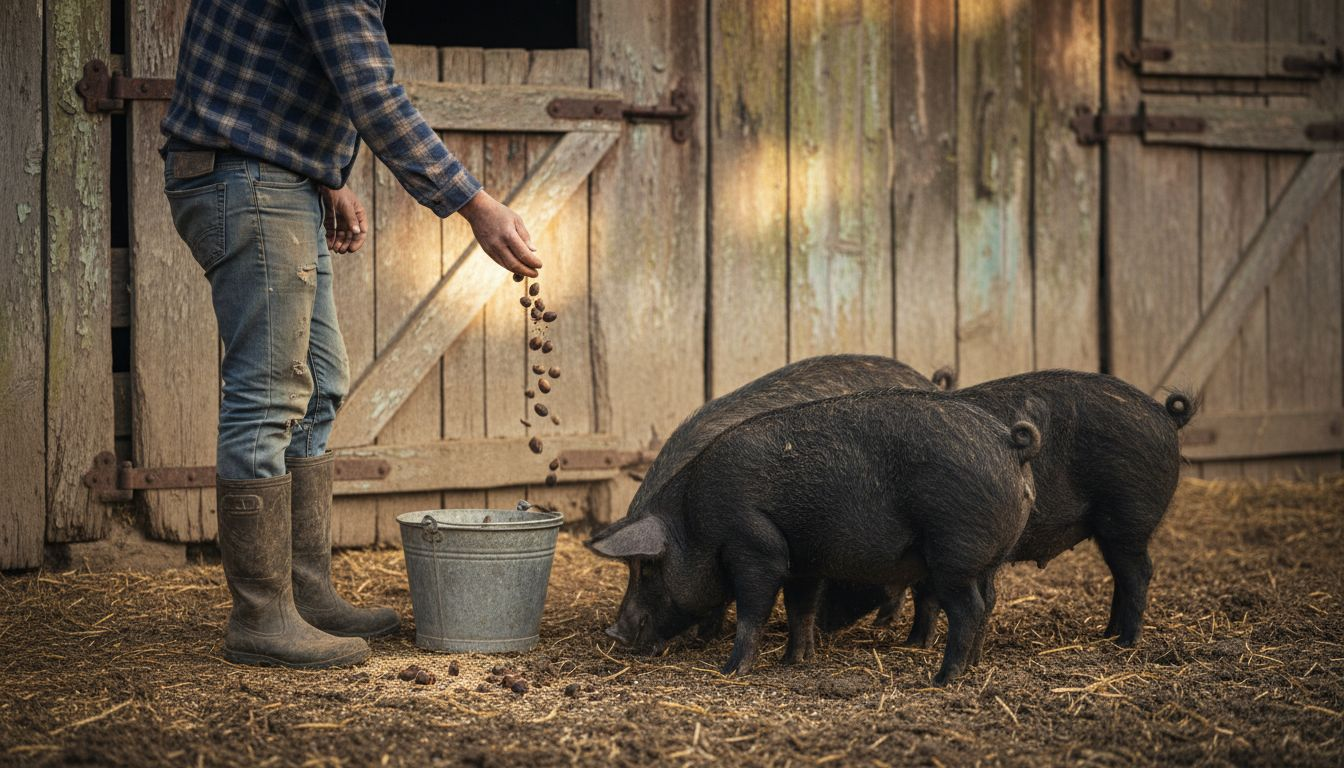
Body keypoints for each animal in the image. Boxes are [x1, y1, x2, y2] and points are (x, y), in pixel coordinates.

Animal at [588, 388, 1043, 685]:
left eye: (648, 568)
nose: (614, 632)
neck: (694, 521)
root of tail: (1010, 442)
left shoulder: (757, 548)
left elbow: (753, 612)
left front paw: (731, 671)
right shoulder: (802, 563)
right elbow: (799, 610)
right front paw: (795, 662)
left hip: (954, 555)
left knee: (968, 609)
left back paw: (942, 679)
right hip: (988, 560)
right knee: (989, 602)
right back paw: (974, 667)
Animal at [817, 370, 1199, 648]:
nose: (820, 625)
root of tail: (1165, 414)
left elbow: (926, 594)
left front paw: (912, 646)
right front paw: (913, 644)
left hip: (1129, 516)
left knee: (1139, 573)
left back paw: (1125, 643)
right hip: (1113, 529)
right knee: (1122, 576)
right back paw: (1107, 635)